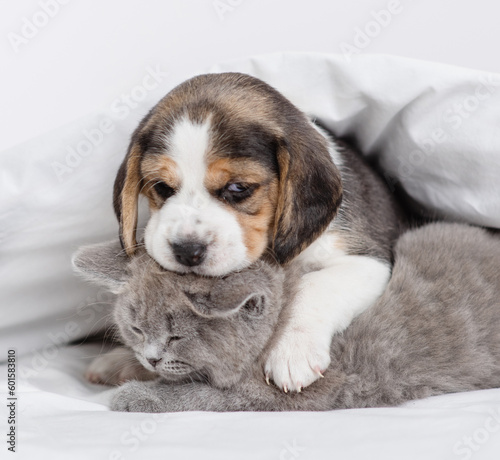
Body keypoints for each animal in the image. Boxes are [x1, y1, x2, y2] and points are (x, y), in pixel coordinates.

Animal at [71, 222, 500, 410]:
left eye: (177, 336)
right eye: (136, 328)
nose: (151, 357)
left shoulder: (293, 391)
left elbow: (200, 393)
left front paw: (134, 393)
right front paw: (115, 364)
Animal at [111, 72, 404, 392]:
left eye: (239, 188)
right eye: (162, 187)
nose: (187, 251)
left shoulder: (368, 260)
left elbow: (314, 285)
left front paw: (292, 350)